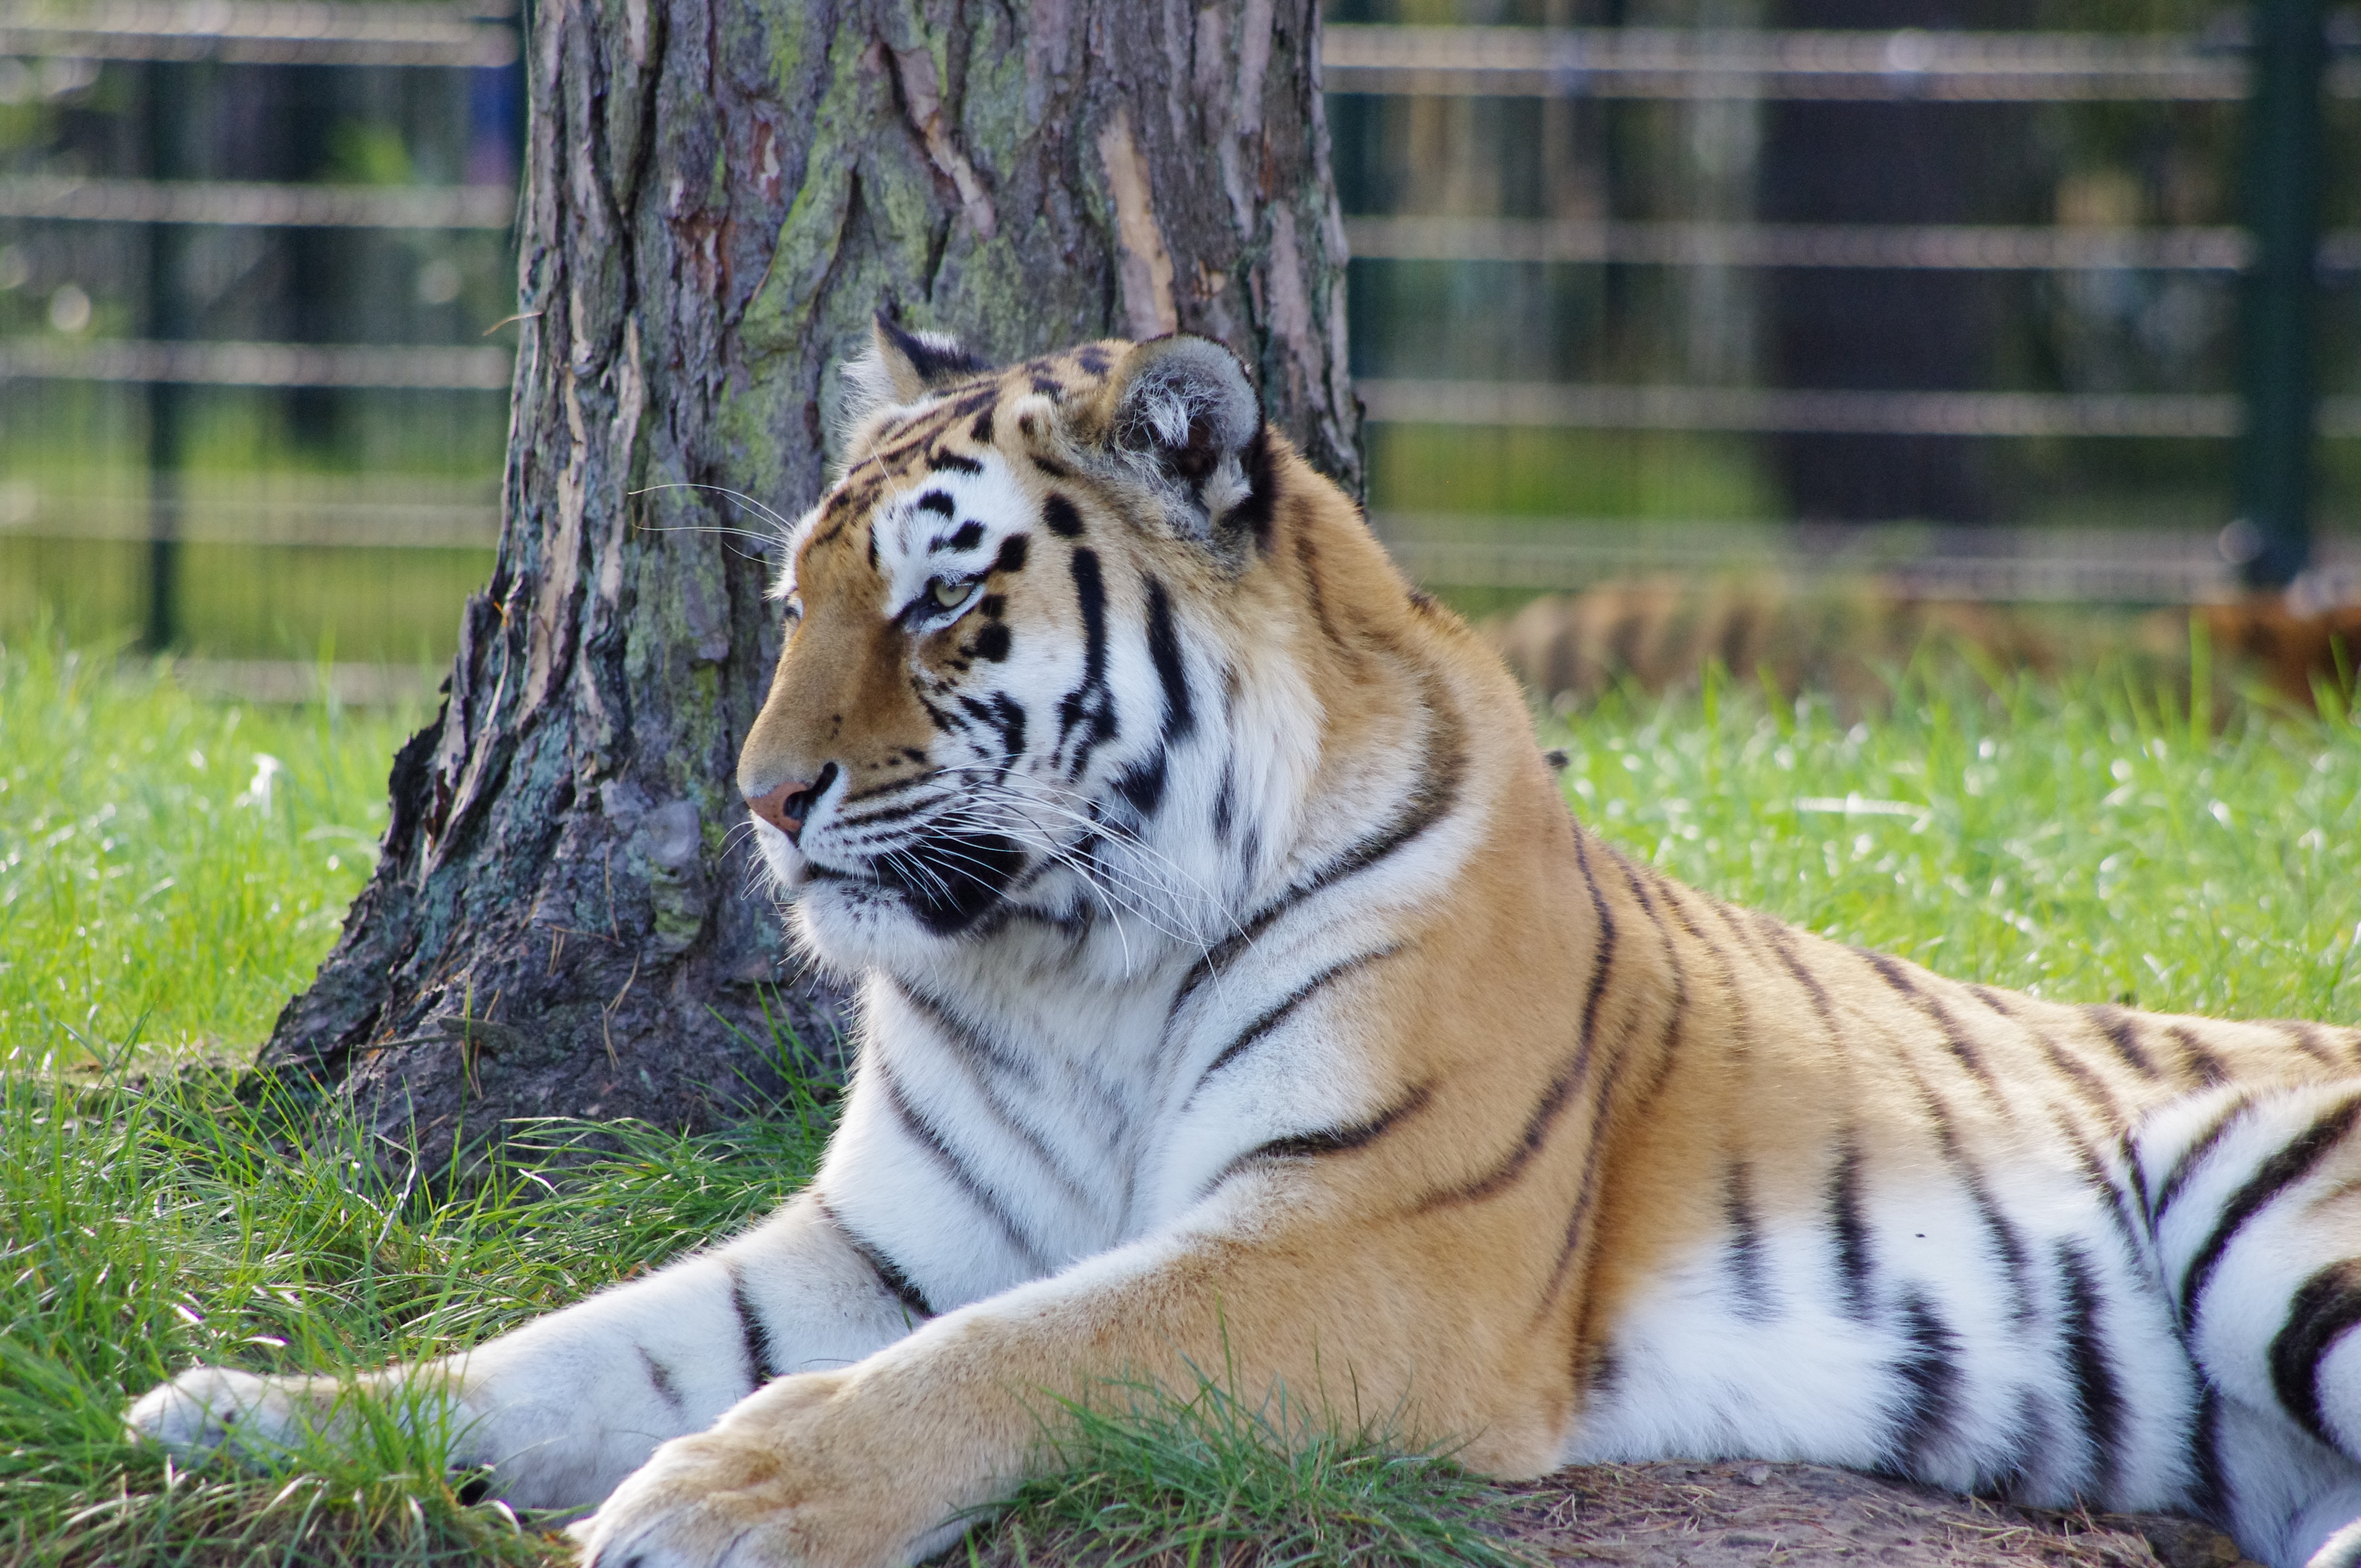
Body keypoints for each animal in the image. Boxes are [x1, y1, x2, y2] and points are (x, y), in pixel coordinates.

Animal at [138, 319, 2361, 1567]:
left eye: (937, 603)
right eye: (793, 601)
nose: (761, 797)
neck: (1066, 952)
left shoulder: (1365, 1236)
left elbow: (1019, 1348)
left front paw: (717, 1500)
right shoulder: (882, 1238)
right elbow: (571, 1343)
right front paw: (253, 1413)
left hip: (2275, 1222)